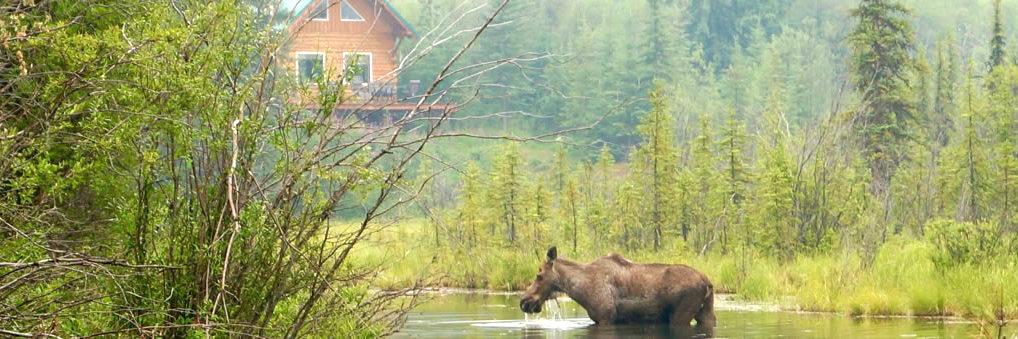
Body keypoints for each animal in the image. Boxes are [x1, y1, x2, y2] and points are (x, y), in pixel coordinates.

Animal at [517, 245, 716, 335]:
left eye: (539, 275)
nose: (524, 301)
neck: (579, 289)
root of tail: (707, 281)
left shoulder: (606, 318)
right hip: (705, 311)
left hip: (681, 315)